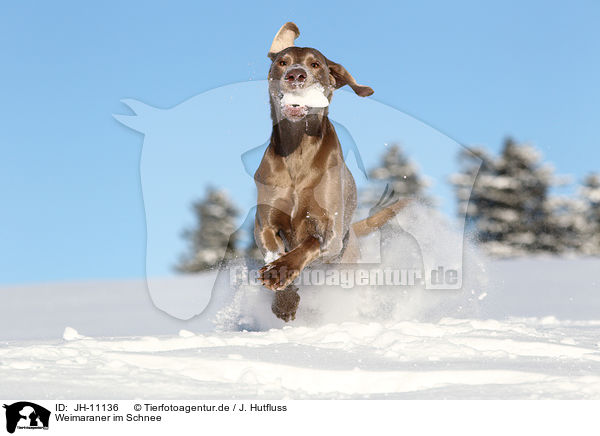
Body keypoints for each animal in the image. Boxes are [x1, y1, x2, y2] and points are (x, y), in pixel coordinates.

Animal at [254, 23, 408, 322]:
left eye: (315, 64)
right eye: (282, 62)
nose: (296, 75)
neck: (298, 152)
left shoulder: (332, 233)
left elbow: (310, 243)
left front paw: (280, 274)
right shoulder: (264, 223)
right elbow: (272, 250)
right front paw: (285, 301)